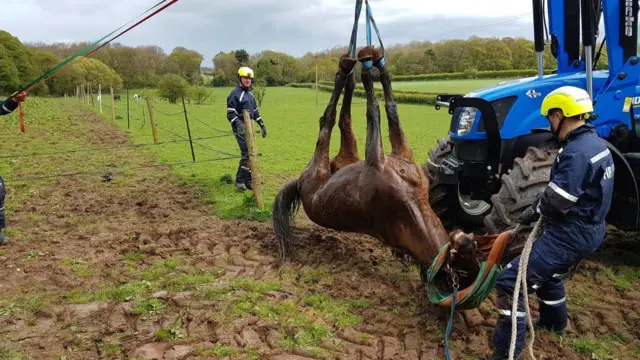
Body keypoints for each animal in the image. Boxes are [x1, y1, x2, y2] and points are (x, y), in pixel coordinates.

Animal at [272, 46, 480, 286]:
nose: (465, 236)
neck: (415, 205)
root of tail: (299, 183)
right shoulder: (397, 151)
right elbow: (390, 110)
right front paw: (379, 67)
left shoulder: (375, 158)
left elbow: (375, 110)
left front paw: (369, 71)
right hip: (344, 156)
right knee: (343, 116)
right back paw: (353, 66)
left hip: (320, 165)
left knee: (330, 120)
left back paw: (347, 69)